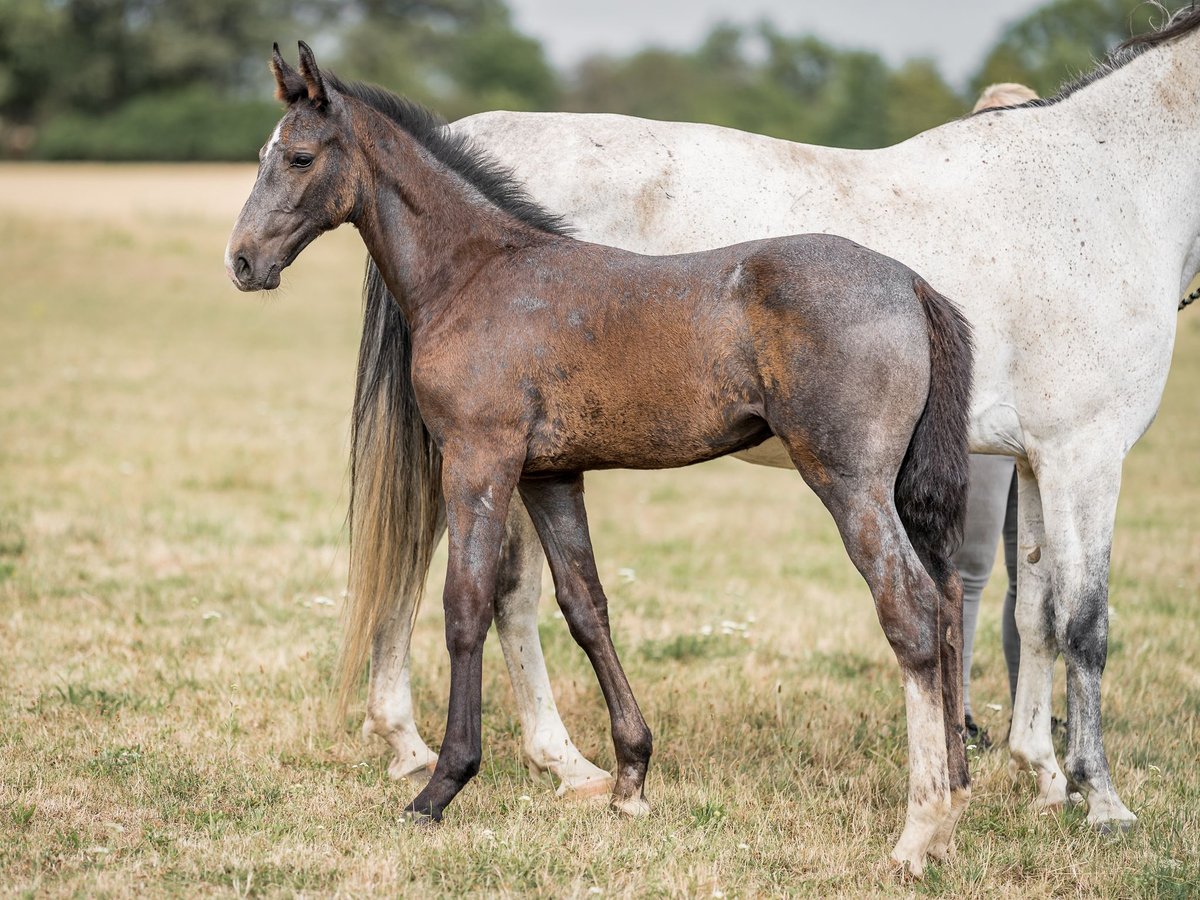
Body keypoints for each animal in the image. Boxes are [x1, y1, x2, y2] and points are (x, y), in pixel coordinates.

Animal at [226, 45, 974, 878]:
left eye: (298, 157)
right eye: (262, 154)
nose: (243, 261)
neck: (475, 274)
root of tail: (910, 283)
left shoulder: (479, 461)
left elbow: (466, 605)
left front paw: (442, 786)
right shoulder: (550, 475)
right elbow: (585, 606)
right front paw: (630, 777)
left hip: (851, 484)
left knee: (911, 612)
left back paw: (918, 831)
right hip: (902, 492)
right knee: (947, 605)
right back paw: (950, 810)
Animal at [348, 5, 1200, 840]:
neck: (1102, 185)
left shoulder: (1040, 458)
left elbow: (1039, 615)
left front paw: (1045, 774)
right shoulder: (1086, 453)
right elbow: (1085, 623)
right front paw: (1101, 797)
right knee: (485, 586)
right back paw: (477, 753)